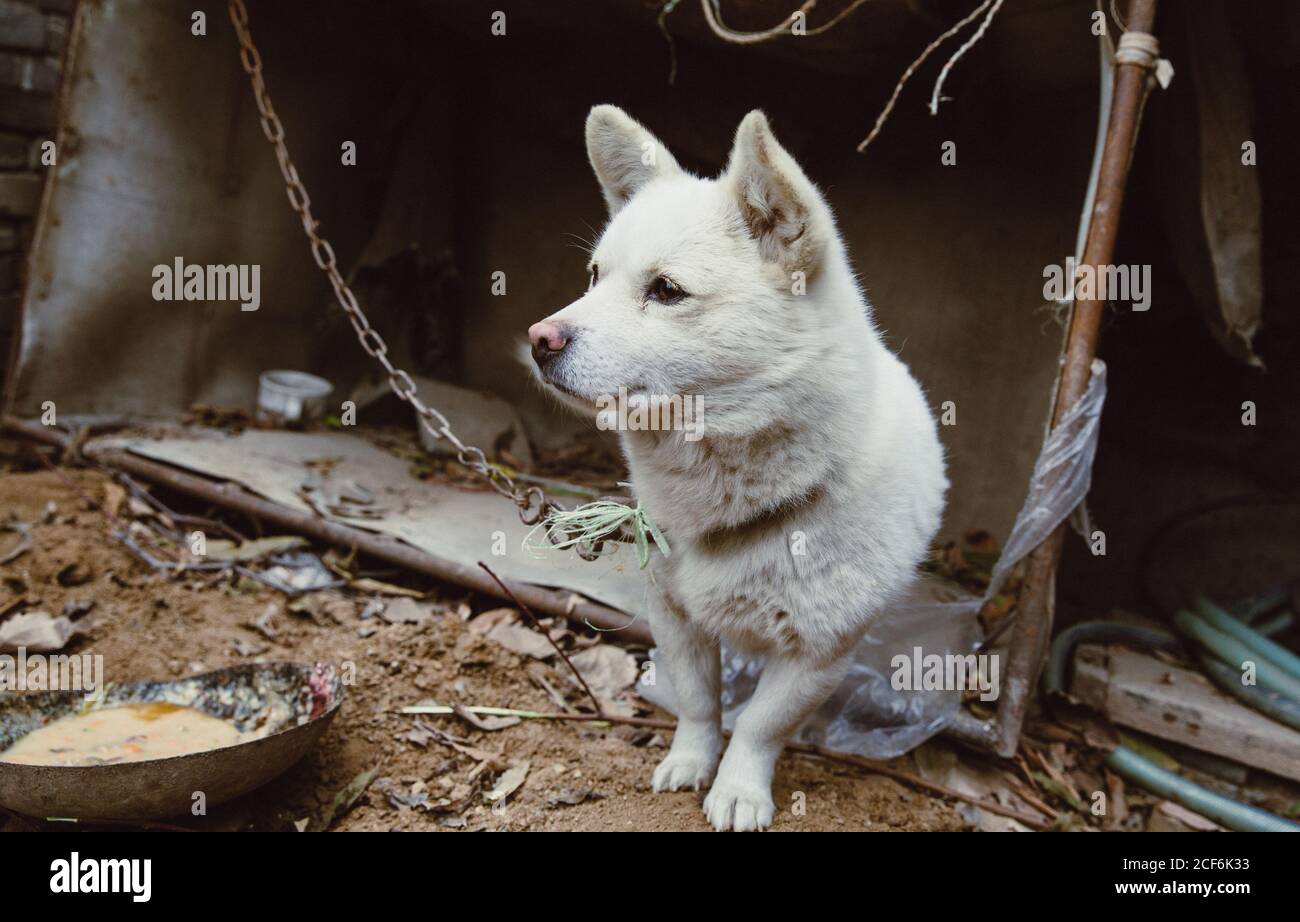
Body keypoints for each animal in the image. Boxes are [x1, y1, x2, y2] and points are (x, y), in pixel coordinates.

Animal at [527, 105, 946, 827]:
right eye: (594, 277)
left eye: (666, 290)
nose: (539, 339)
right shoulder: (674, 616)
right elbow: (701, 703)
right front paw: (691, 762)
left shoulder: (818, 653)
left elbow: (758, 726)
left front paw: (739, 789)